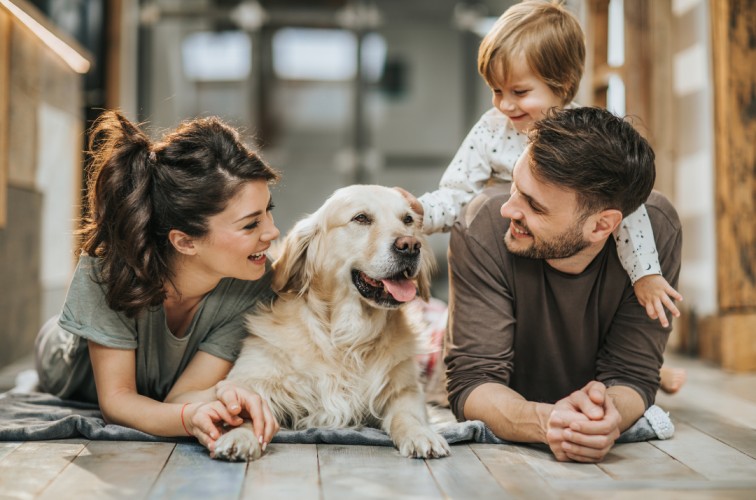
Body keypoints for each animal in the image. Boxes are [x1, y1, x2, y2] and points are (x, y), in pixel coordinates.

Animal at [213, 184, 448, 460]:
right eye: (361, 218)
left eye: (408, 220)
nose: (410, 245)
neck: (347, 336)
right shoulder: (253, 377)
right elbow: (249, 408)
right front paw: (239, 436)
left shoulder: (405, 389)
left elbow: (408, 415)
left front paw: (421, 434)